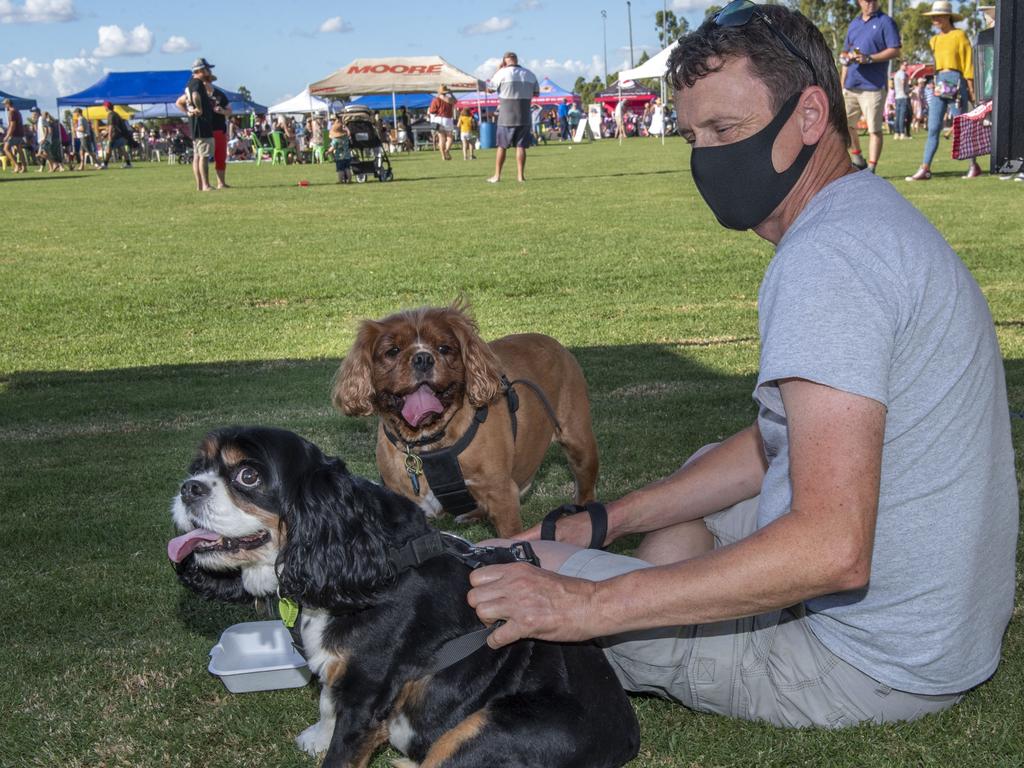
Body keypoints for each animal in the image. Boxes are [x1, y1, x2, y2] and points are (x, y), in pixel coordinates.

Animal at [165, 428, 638, 768]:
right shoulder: (343, 677)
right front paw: (317, 736)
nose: (189, 488)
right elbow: (326, 701)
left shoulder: (367, 693)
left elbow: (342, 749)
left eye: (248, 476)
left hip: (482, 728)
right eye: (199, 466)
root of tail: (627, 742)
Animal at [331, 303, 598, 536]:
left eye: (444, 348)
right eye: (393, 351)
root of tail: (555, 343)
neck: (428, 442)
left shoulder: (502, 495)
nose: (423, 358)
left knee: (586, 490)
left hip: (581, 448)